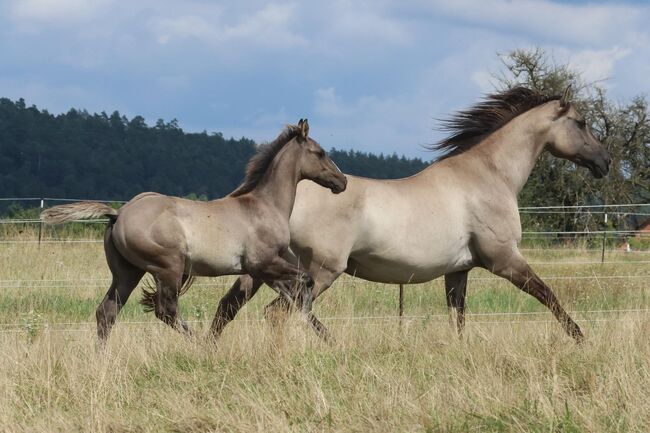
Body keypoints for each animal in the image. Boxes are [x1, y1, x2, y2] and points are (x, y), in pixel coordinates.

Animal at [39, 118, 344, 340]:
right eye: (320, 153)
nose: (341, 182)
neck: (263, 205)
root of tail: (118, 213)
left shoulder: (263, 271)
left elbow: (294, 296)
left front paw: (327, 338)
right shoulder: (264, 263)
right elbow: (305, 284)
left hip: (127, 272)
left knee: (107, 312)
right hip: (168, 268)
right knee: (166, 311)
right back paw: (199, 344)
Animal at [211, 86, 608, 340]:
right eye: (582, 123)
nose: (604, 163)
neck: (488, 175)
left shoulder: (459, 270)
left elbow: (458, 318)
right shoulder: (505, 260)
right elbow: (549, 297)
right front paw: (582, 339)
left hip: (262, 271)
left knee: (230, 308)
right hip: (318, 271)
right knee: (278, 314)